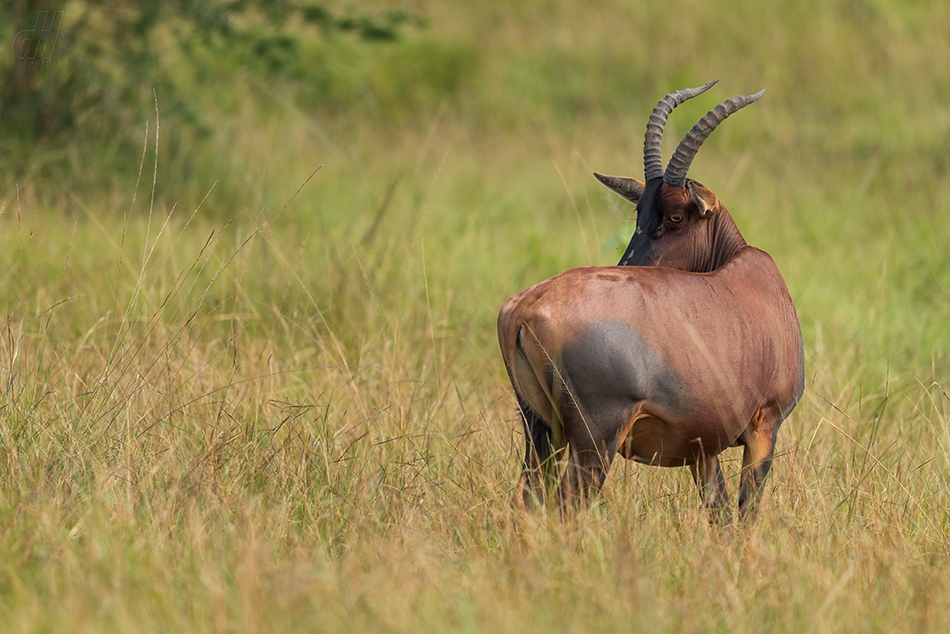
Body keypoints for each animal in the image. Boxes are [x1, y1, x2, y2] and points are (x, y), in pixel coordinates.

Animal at [502, 80, 808, 520]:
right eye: (640, 213)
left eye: (674, 216)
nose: (628, 267)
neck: (755, 281)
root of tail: (525, 306)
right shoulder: (765, 424)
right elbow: (746, 512)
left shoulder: (703, 444)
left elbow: (721, 514)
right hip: (595, 440)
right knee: (566, 507)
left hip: (540, 433)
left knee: (527, 501)